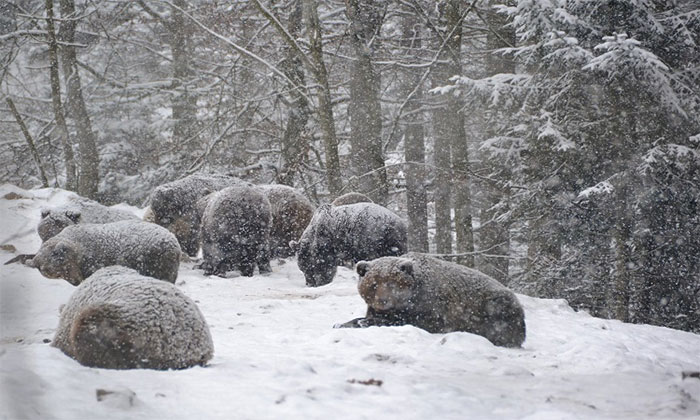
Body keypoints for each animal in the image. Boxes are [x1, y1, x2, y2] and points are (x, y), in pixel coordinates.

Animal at [27, 220, 181, 285]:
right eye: (57, 274)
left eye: (63, 266)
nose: (76, 282)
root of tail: (174, 242)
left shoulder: (94, 263)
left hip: (158, 265)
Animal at [337, 253, 526, 348]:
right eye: (374, 283)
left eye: (392, 283)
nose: (383, 301)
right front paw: (343, 323)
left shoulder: (433, 308)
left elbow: (417, 321)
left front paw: (365, 322)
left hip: (494, 306)